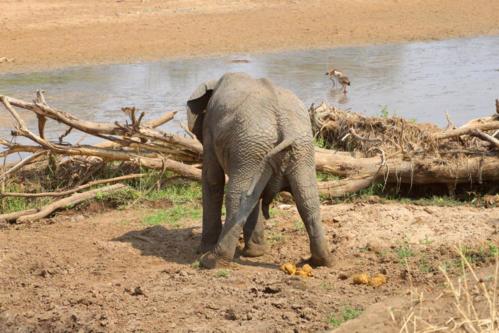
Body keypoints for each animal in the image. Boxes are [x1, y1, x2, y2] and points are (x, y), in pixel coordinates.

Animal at [187, 72, 332, 268]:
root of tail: (284, 125)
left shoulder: (209, 129)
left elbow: (212, 179)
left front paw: (203, 250)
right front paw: (255, 254)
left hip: (254, 147)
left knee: (237, 195)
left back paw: (211, 260)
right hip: (295, 149)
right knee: (307, 198)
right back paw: (320, 261)